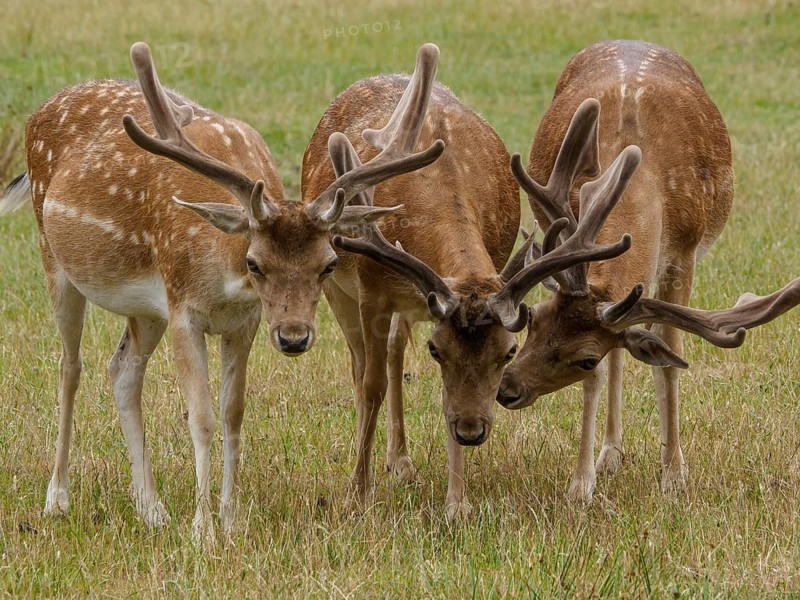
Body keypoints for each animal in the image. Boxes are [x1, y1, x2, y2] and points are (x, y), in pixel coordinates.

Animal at [0, 42, 444, 540]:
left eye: (328, 264)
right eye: (255, 263)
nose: (294, 337)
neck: (224, 276)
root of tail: (40, 111)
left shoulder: (242, 321)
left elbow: (233, 413)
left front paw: (230, 520)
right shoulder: (183, 309)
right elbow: (202, 417)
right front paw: (202, 529)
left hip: (147, 309)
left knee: (122, 369)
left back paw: (151, 508)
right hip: (54, 259)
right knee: (70, 367)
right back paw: (57, 498)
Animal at [302, 43, 643, 519]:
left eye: (509, 351)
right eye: (436, 350)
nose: (471, 431)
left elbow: (436, 394)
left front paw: (456, 502)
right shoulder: (372, 293)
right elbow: (371, 387)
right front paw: (358, 491)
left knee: (394, 351)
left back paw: (400, 461)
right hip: (337, 287)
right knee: (362, 367)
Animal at [496, 40, 800, 503]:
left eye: (584, 356)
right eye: (534, 319)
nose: (506, 388)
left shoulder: (684, 254)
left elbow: (668, 358)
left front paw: (673, 474)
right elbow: (604, 374)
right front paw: (582, 483)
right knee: (621, 353)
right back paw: (611, 453)